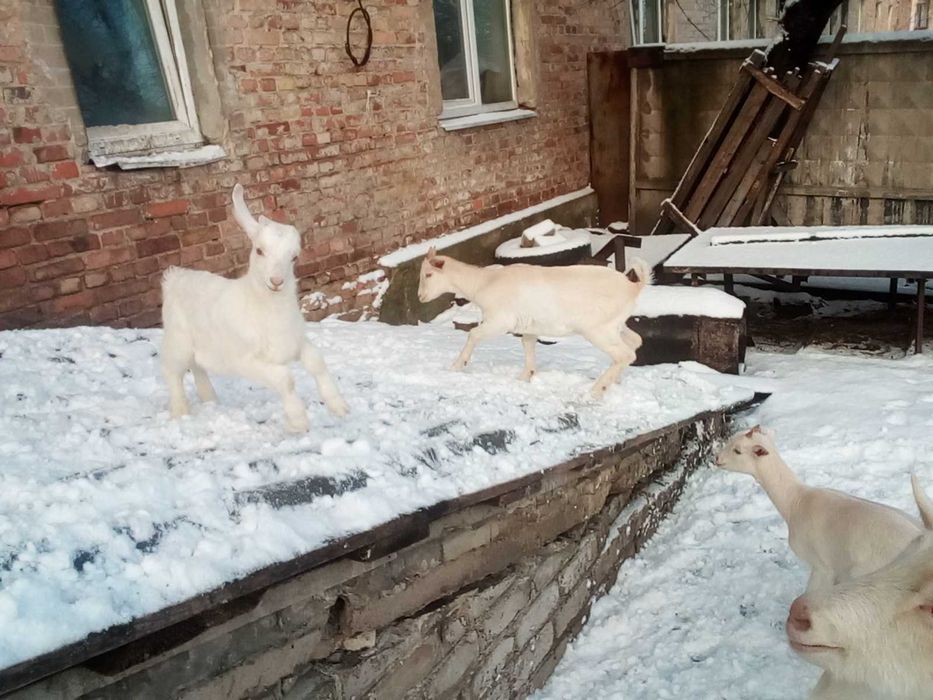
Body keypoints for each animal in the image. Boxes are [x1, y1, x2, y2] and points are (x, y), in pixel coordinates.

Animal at [160, 184, 348, 432]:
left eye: (294, 257)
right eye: (259, 250)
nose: (276, 281)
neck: (261, 306)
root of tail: (174, 277)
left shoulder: (296, 342)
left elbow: (317, 361)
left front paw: (339, 406)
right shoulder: (245, 360)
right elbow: (285, 379)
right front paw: (299, 421)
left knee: (197, 366)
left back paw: (210, 399)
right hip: (178, 339)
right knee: (173, 371)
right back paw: (181, 411)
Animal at [417, 247, 651, 398]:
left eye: (428, 274)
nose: (420, 297)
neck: (483, 283)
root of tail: (633, 287)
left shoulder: (500, 319)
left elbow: (473, 334)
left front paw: (457, 365)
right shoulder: (530, 326)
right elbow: (527, 344)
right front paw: (524, 377)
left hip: (598, 329)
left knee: (625, 353)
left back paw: (596, 390)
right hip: (616, 325)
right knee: (635, 342)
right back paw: (615, 380)